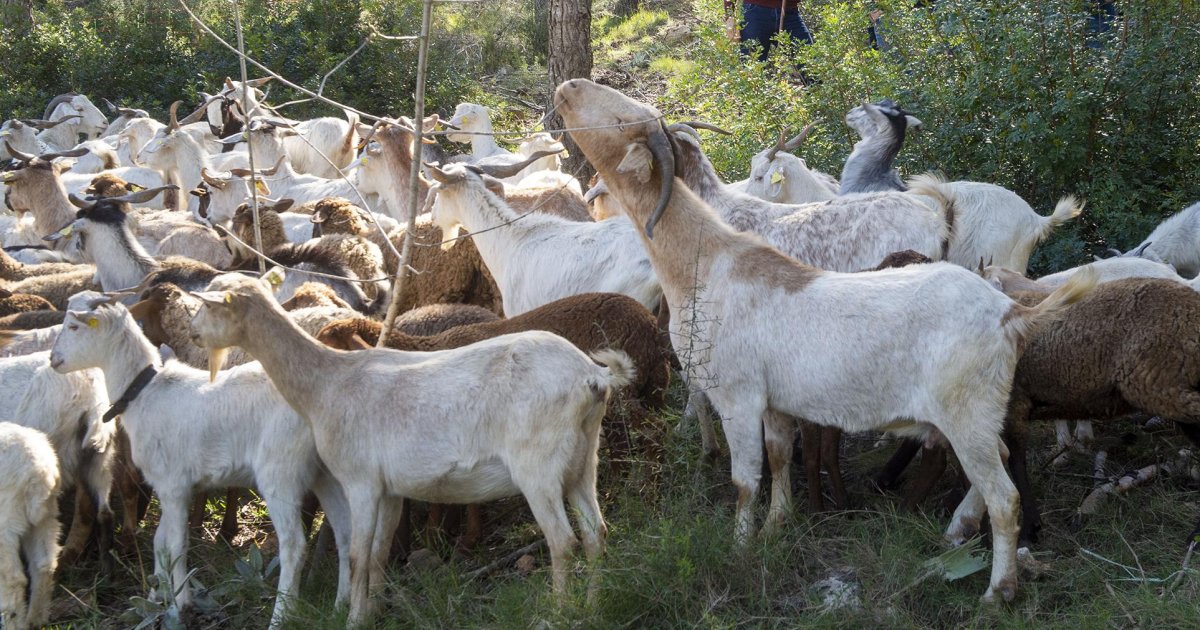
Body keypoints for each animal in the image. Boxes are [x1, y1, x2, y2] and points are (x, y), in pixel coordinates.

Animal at [49, 300, 352, 628]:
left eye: (74, 326)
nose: (53, 359)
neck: (144, 393)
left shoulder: (174, 485)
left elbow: (176, 545)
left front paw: (179, 604)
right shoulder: (169, 487)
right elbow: (160, 541)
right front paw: (158, 594)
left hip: (280, 471)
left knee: (294, 545)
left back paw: (281, 616)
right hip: (327, 474)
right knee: (347, 537)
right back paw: (340, 607)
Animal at [189, 271, 632, 624]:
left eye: (209, 306)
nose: (192, 333)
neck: (326, 385)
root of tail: (593, 376)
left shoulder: (361, 482)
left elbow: (357, 556)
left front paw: (354, 620)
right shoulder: (390, 490)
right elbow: (378, 554)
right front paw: (374, 613)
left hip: (538, 464)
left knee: (563, 541)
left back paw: (559, 613)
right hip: (582, 460)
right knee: (596, 534)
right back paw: (594, 608)